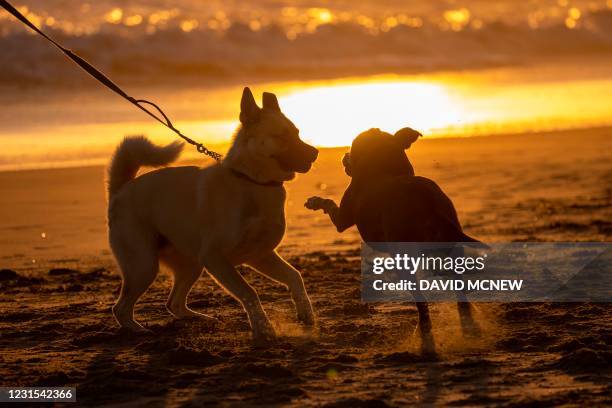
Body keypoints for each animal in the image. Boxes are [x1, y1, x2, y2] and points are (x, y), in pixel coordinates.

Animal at [106, 87, 318, 344]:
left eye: (297, 133)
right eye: (282, 136)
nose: (316, 153)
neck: (251, 181)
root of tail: (120, 190)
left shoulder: (260, 255)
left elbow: (295, 277)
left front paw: (306, 314)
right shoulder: (216, 258)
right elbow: (249, 292)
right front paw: (264, 329)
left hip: (191, 265)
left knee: (173, 303)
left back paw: (199, 317)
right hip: (144, 266)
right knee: (121, 308)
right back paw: (137, 330)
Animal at [306, 127, 482, 354]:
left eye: (353, 148)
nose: (344, 155)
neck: (385, 167)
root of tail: (425, 199)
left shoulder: (342, 219)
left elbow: (329, 204)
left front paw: (315, 201)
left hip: (404, 259)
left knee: (422, 302)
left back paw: (424, 338)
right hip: (449, 248)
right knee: (460, 292)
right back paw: (470, 326)